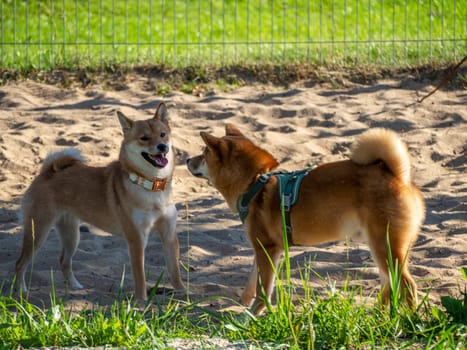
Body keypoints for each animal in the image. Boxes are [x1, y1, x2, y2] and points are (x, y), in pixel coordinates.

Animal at [15, 102, 183, 300]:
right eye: (144, 138)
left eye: (163, 134)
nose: (162, 146)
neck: (151, 186)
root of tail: (47, 173)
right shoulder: (137, 238)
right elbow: (140, 275)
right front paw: (141, 300)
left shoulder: (169, 235)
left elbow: (175, 271)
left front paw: (185, 295)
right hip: (38, 232)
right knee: (20, 263)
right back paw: (20, 291)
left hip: (72, 235)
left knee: (64, 260)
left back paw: (75, 287)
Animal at [188, 125, 426, 314]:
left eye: (204, 152)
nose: (187, 159)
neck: (255, 183)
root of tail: (397, 176)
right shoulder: (264, 248)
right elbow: (252, 282)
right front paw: (244, 305)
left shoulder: (267, 248)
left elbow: (263, 290)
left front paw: (251, 315)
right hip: (381, 248)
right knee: (389, 284)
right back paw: (379, 315)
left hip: (385, 247)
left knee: (407, 285)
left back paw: (409, 320)